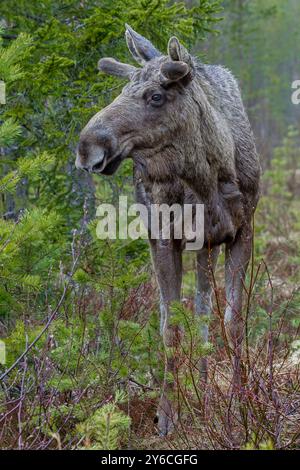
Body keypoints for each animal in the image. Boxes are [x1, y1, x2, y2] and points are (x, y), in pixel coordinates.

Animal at [75, 24, 260, 436]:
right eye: (121, 90)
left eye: (156, 96)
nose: (86, 146)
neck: (207, 178)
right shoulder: (163, 238)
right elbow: (169, 328)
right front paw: (168, 415)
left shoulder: (242, 232)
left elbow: (233, 323)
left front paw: (241, 404)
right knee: (187, 311)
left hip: (210, 244)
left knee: (206, 310)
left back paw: (207, 388)